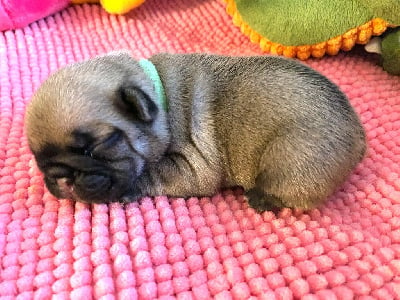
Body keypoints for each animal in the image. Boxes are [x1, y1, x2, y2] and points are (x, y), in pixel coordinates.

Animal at [25, 52, 368, 211]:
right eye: (39, 159)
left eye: (100, 144)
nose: (60, 177)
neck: (158, 95)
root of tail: (359, 136)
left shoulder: (191, 165)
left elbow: (153, 173)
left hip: (290, 156)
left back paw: (261, 198)